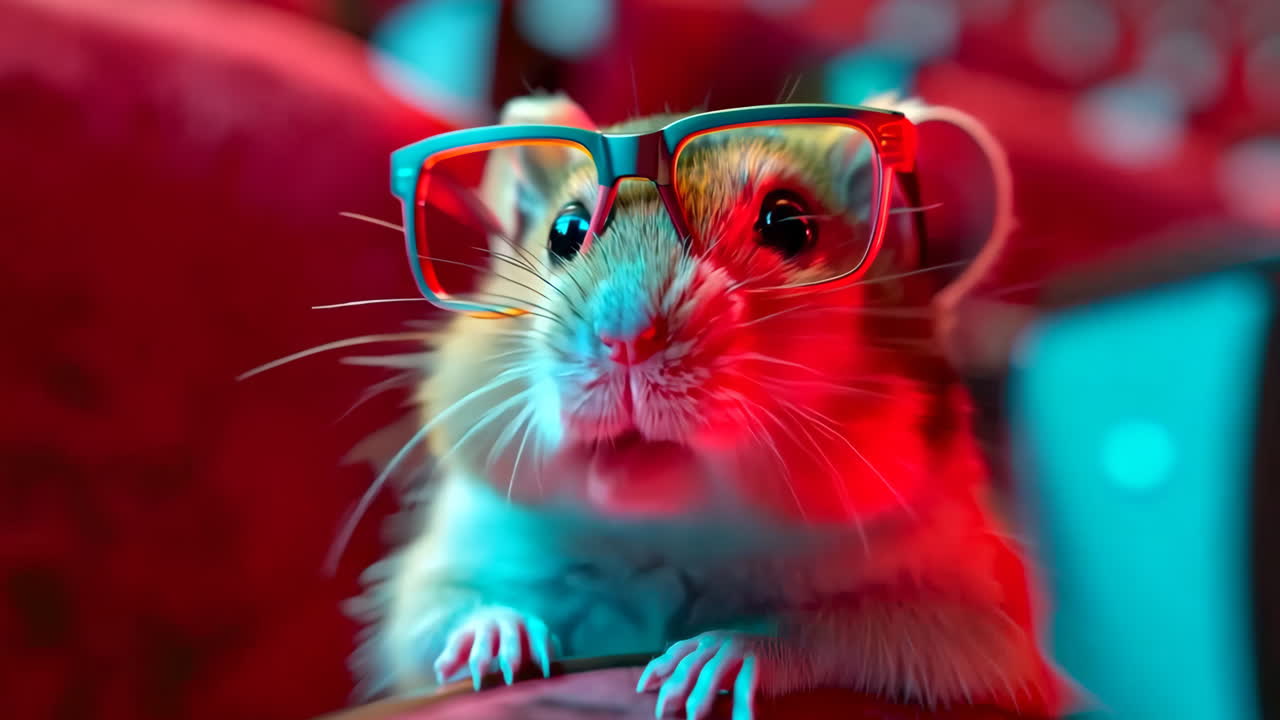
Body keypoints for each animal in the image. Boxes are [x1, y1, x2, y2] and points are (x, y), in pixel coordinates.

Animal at [350, 93, 1068, 719]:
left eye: (789, 224)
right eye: (566, 230)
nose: (625, 341)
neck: (670, 532)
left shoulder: (987, 626)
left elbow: (870, 634)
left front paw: (717, 660)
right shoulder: (443, 563)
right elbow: (430, 614)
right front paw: (497, 638)